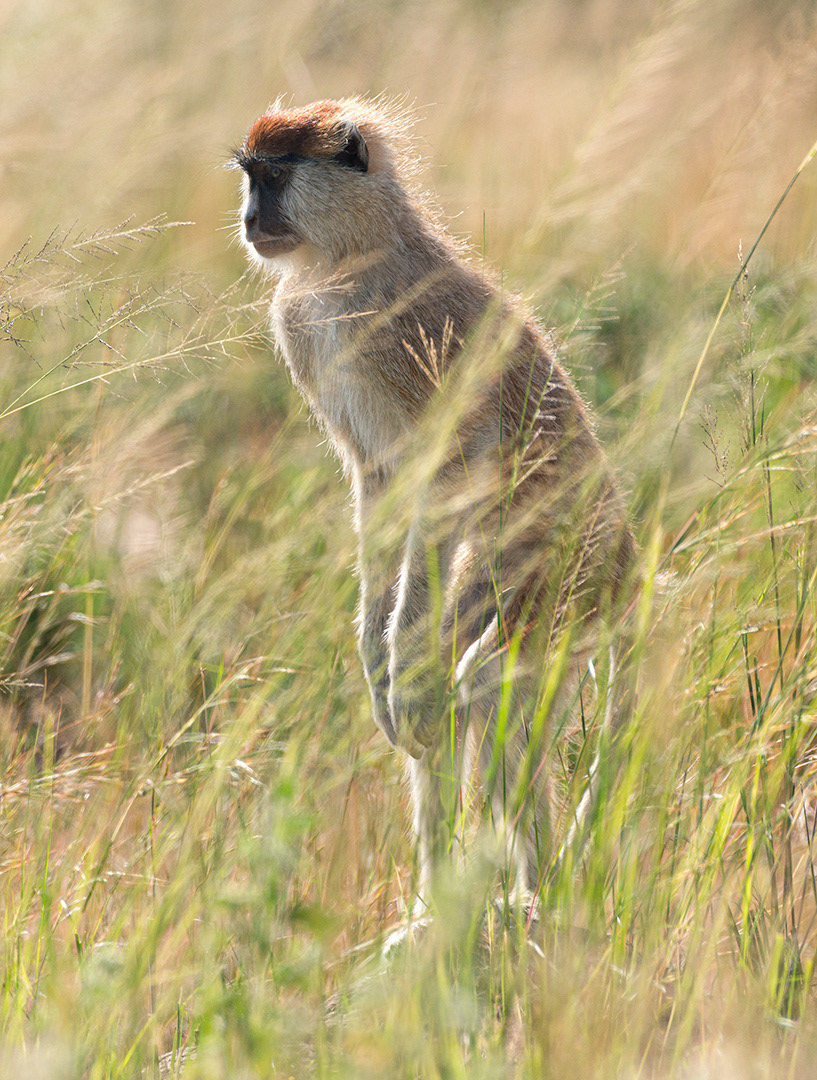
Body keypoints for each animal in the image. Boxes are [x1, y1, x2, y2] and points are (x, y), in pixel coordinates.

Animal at [234, 97, 637, 915]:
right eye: (250, 176)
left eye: (274, 176)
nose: (252, 218)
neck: (349, 260)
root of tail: (629, 563)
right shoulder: (301, 327)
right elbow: (380, 482)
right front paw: (374, 653)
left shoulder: (406, 329)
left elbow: (452, 467)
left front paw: (404, 658)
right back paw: (442, 906)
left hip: (568, 581)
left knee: (487, 684)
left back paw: (531, 896)